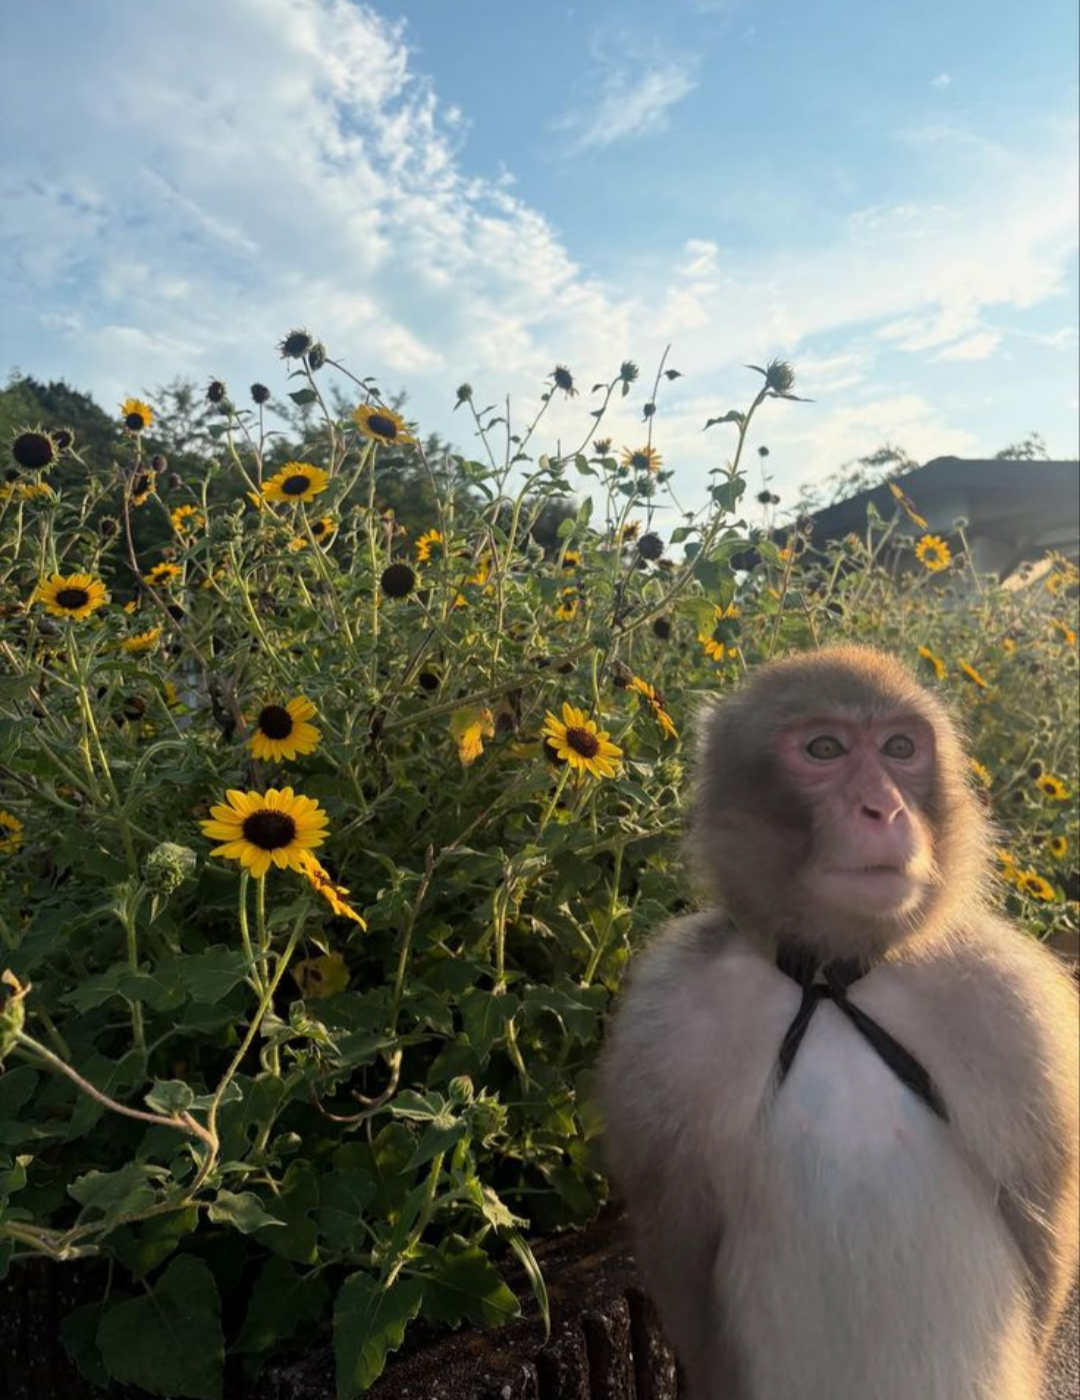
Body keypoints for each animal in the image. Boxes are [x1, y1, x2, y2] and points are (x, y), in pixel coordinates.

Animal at [599, 645, 1079, 1400]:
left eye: (901, 748)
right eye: (824, 749)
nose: (884, 808)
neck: (833, 975)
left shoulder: (1015, 1011)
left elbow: (1042, 1236)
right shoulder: (665, 1020)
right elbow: (682, 1252)